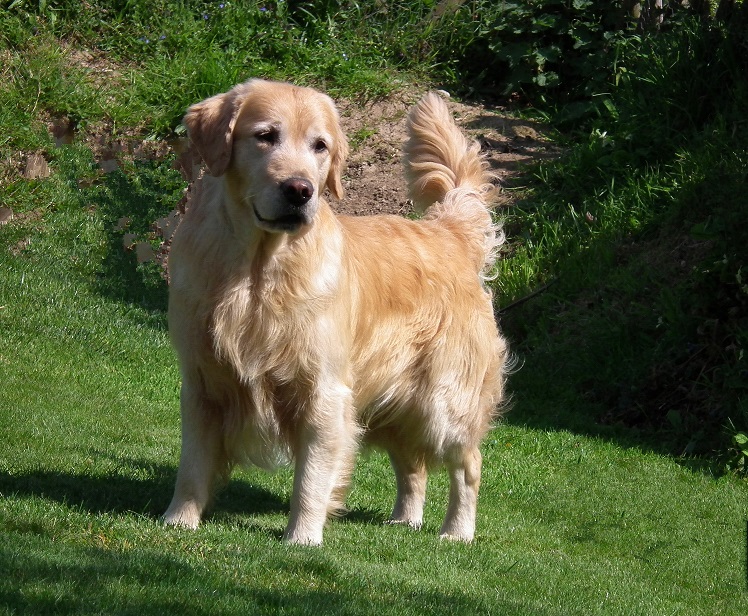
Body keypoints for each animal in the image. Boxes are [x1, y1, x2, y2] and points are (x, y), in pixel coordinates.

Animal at [165, 79, 508, 548]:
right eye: (264, 136)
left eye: (320, 146)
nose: (300, 189)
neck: (257, 272)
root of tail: (448, 233)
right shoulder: (203, 383)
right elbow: (193, 465)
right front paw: (178, 521)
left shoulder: (323, 392)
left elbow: (311, 478)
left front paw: (302, 538)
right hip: (392, 403)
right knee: (413, 465)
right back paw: (405, 520)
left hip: (444, 403)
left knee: (468, 465)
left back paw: (457, 531)